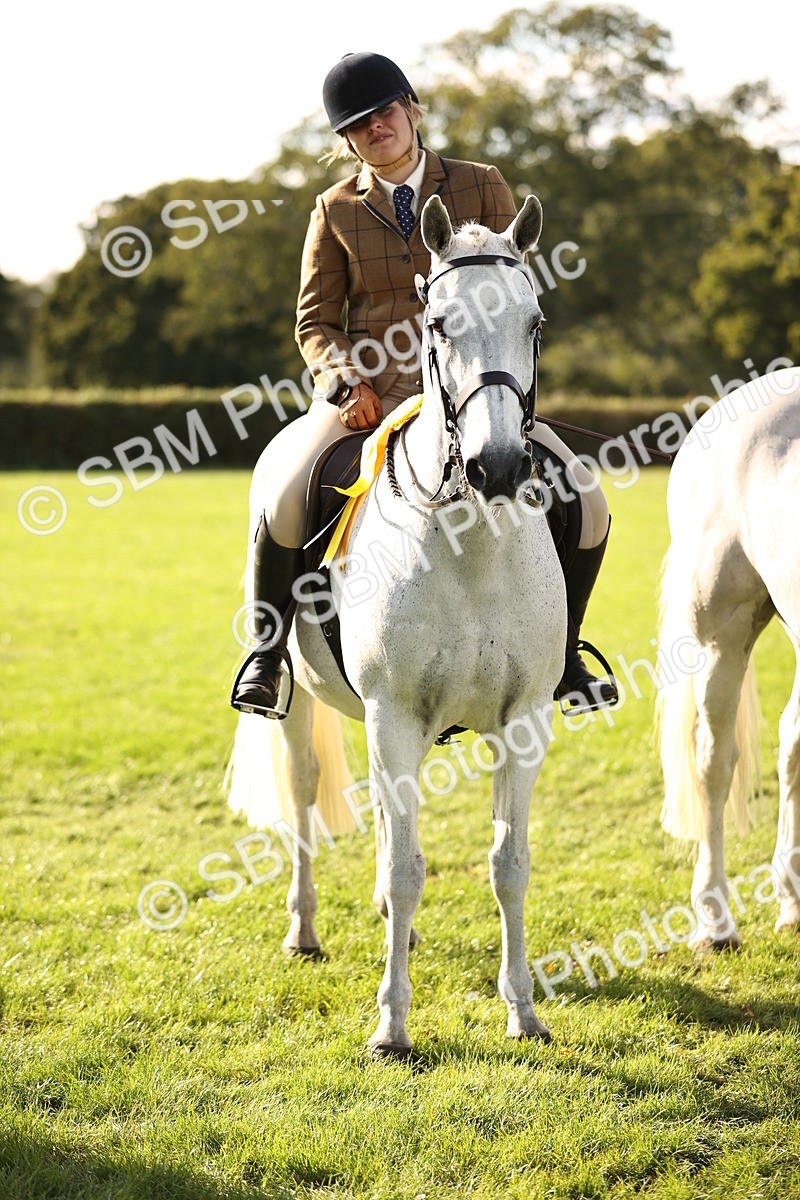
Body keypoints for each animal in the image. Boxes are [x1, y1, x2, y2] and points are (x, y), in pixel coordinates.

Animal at [227, 192, 568, 1059]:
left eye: (535, 320)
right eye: (438, 323)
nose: (498, 466)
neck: (473, 543)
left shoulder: (522, 721)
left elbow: (510, 862)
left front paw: (523, 1011)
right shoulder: (395, 712)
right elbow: (411, 868)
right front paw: (391, 1026)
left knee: (388, 816)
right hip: (319, 710)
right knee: (308, 795)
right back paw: (304, 932)